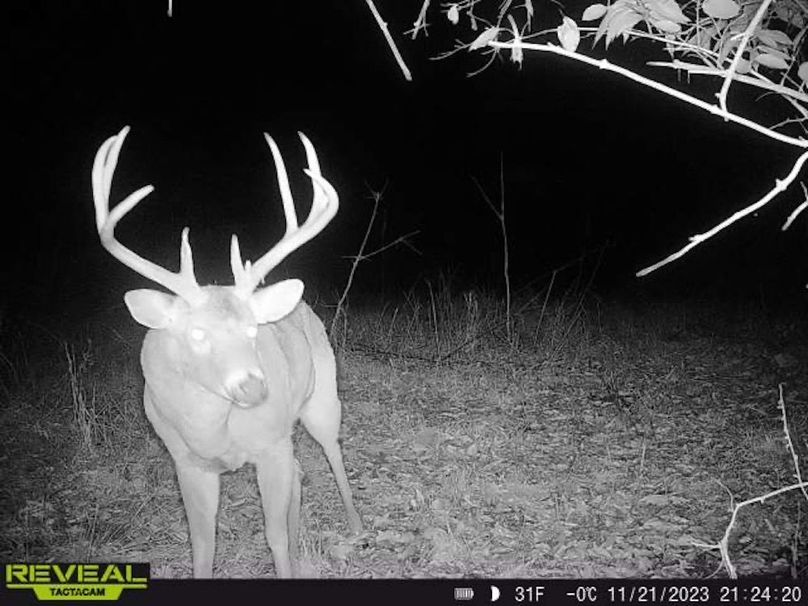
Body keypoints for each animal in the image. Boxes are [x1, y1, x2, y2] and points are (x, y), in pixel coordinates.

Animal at [91, 126, 362, 578]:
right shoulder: (186, 462)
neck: (216, 432)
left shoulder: (271, 446)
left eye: (253, 330)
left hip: (322, 398)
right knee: (299, 475)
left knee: (332, 450)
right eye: (197, 333)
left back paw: (356, 525)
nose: (253, 388)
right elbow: (203, 545)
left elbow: (275, 537)